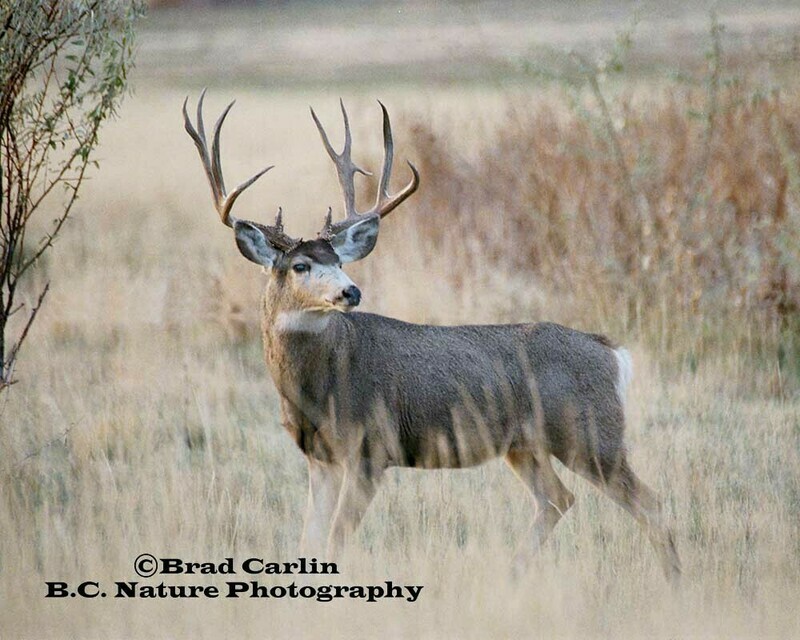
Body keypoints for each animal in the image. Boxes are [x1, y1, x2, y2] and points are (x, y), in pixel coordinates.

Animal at [182, 91, 682, 583]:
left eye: (340, 261)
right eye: (301, 265)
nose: (351, 291)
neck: (316, 389)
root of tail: (611, 352)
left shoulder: (371, 448)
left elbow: (336, 539)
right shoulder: (319, 458)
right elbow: (310, 542)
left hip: (590, 432)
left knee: (650, 504)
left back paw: (673, 582)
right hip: (525, 445)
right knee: (558, 499)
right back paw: (511, 576)